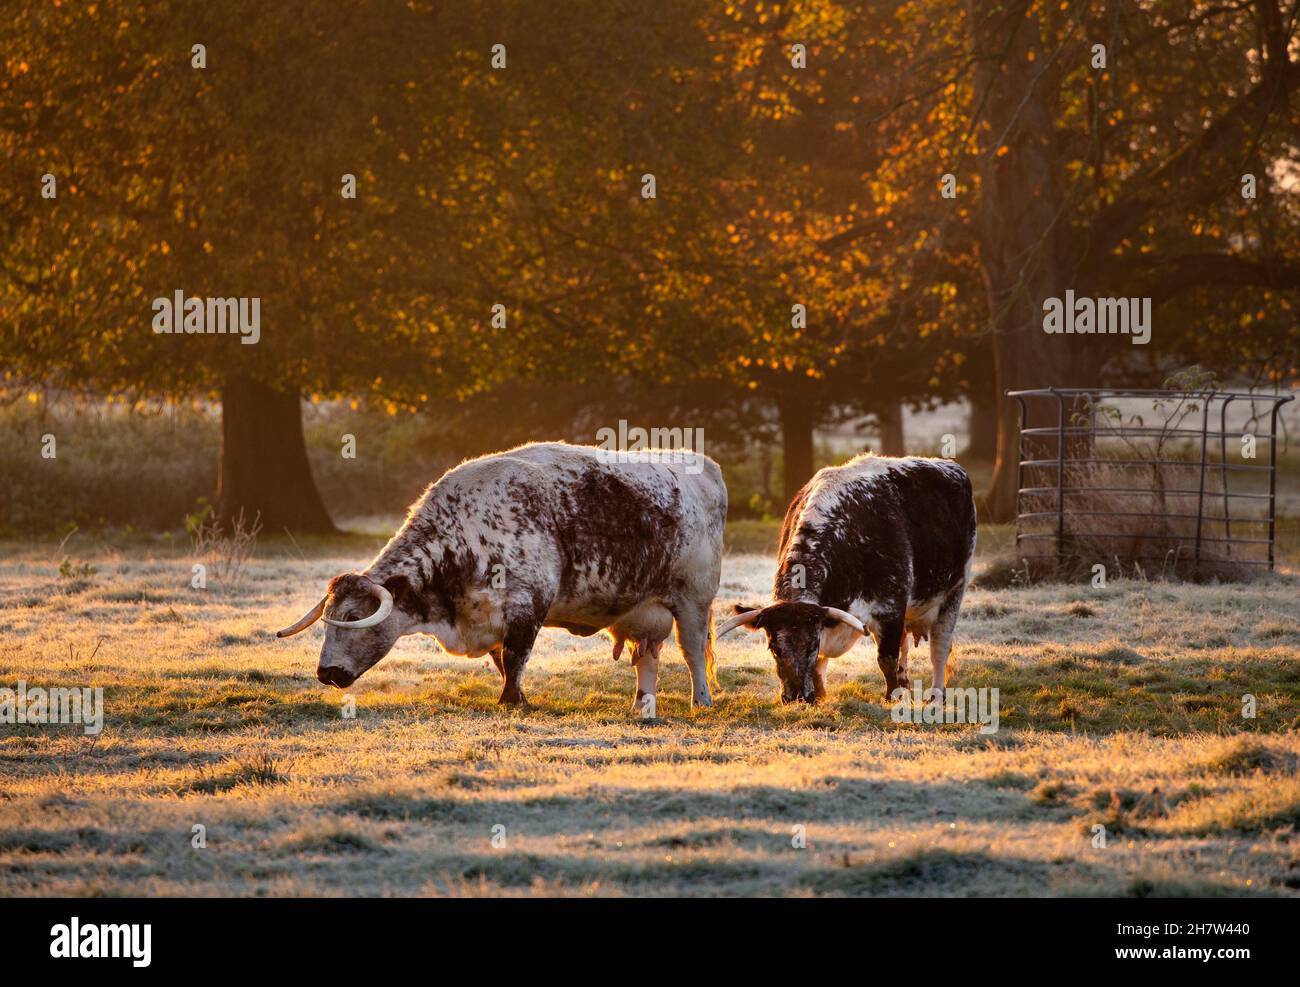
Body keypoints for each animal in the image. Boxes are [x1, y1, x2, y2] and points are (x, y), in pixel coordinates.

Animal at [273, 444, 728, 712]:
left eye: (352, 618)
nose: (326, 673)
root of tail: (703, 465)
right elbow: (501, 661)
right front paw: (518, 696)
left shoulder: (528, 607)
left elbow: (514, 658)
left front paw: (512, 701)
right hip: (645, 609)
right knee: (647, 657)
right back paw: (641, 706)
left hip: (693, 599)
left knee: (692, 651)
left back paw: (700, 700)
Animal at [722, 452, 977, 702]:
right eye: (775, 648)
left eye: (812, 645)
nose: (796, 697)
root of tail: (950, 466)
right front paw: (821, 694)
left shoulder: (890, 608)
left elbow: (886, 659)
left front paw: (891, 697)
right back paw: (905, 682)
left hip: (955, 591)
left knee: (939, 648)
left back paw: (936, 694)